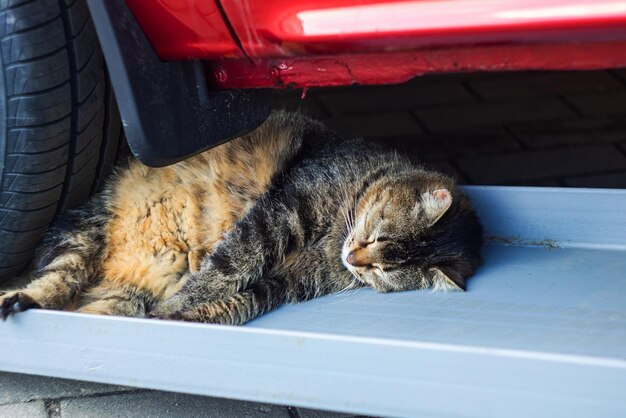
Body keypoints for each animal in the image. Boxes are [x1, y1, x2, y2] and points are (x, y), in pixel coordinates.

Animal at [0, 112, 482, 326]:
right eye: (376, 234)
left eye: (384, 271)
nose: (354, 260)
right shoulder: (280, 211)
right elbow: (230, 265)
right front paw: (180, 304)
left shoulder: (291, 281)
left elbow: (242, 300)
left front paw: (181, 316)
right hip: (84, 235)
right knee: (54, 280)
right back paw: (20, 298)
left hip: (121, 293)